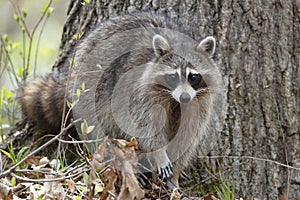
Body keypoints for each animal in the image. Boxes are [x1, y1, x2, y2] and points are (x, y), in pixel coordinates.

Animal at [18, 12, 220, 188]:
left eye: (193, 77)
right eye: (173, 77)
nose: (184, 97)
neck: (174, 100)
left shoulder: (198, 102)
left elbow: (188, 134)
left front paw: (176, 175)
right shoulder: (139, 92)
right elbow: (145, 126)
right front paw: (159, 153)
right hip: (89, 85)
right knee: (100, 125)